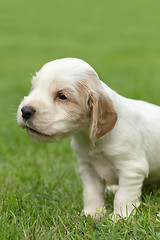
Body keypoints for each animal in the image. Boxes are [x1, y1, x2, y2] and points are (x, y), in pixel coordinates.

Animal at [17, 57, 160, 218]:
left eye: (62, 96)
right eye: (33, 88)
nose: (25, 111)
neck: (89, 139)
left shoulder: (131, 168)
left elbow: (123, 196)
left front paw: (120, 217)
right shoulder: (88, 168)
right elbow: (92, 192)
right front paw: (92, 213)